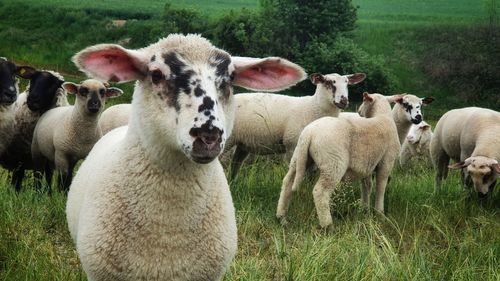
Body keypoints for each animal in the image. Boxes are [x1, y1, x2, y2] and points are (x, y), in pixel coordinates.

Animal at [225, 71, 366, 178]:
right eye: (329, 82)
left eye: (347, 83)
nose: (344, 101)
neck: (313, 107)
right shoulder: (292, 146)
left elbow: (309, 176)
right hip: (228, 140)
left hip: (241, 143)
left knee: (235, 163)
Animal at [276, 92, 400, 230]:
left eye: (364, 101)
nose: (358, 111)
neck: (382, 116)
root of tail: (309, 133)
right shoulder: (387, 161)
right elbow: (381, 187)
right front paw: (380, 213)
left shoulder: (368, 165)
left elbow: (367, 186)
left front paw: (364, 209)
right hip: (333, 163)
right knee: (320, 192)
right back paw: (328, 226)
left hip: (299, 157)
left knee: (288, 182)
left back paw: (282, 217)